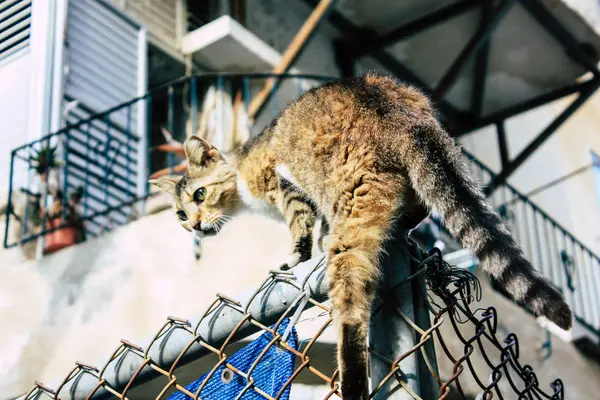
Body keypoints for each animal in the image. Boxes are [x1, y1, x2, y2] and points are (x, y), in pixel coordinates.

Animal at [150, 72, 572, 400]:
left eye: (200, 195)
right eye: (180, 215)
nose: (195, 226)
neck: (241, 166)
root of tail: (398, 113)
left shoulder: (285, 185)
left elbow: (301, 227)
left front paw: (296, 257)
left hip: (351, 199)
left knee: (351, 299)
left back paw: (353, 378)